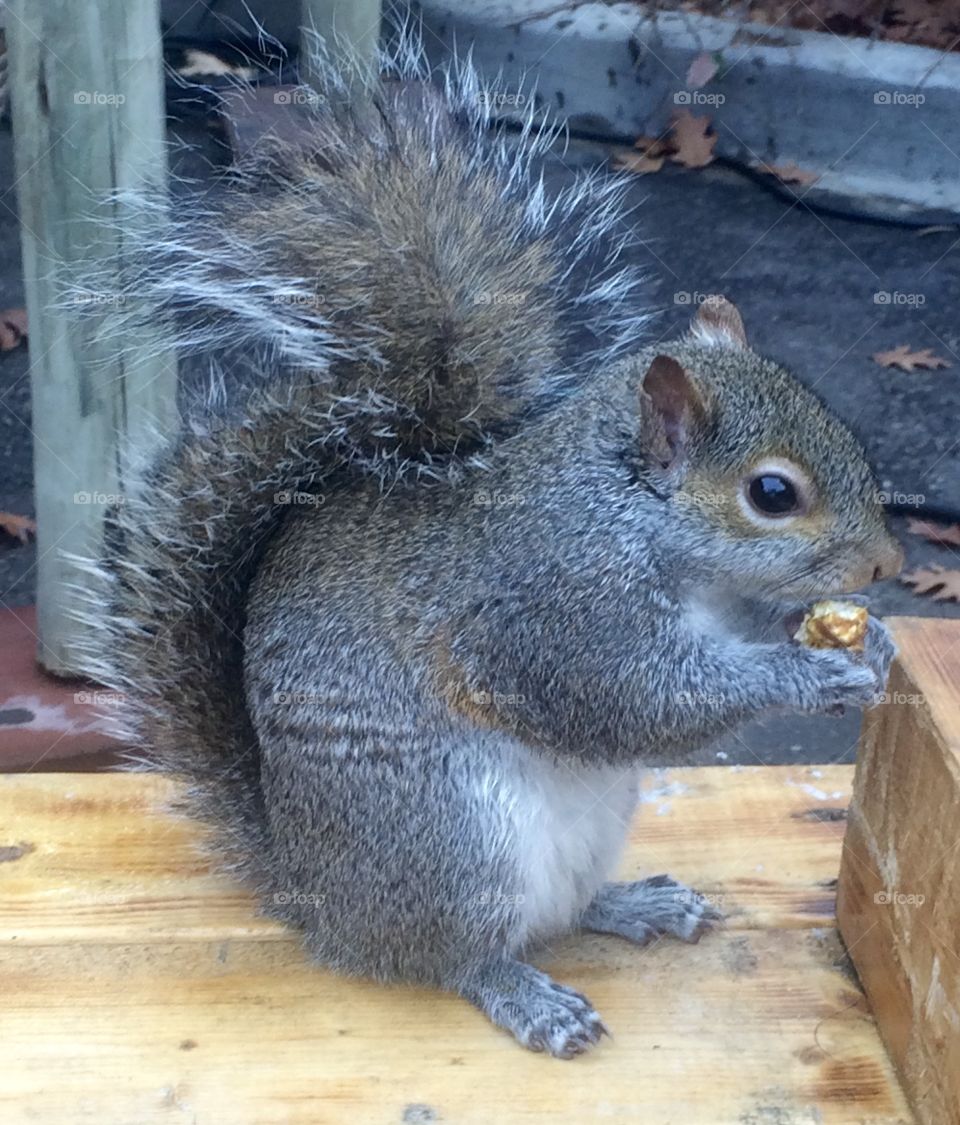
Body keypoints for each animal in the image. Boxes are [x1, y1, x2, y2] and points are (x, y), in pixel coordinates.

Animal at [78, 37, 904, 1053]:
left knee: (560, 911)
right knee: (454, 956)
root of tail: (314, 895)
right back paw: (526, 994)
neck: (632, 517)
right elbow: (632, 698)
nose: (887, 565)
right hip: (450, 842)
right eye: (773, 493)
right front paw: (809, 675)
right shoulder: (552, 603)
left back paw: (632, 903)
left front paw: (873, 639)